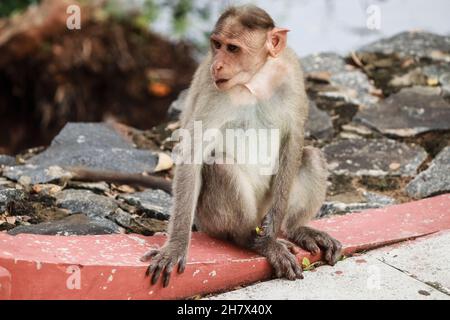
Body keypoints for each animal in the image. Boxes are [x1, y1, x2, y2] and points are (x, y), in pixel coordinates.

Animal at [138, 5, 344, 288]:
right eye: (217, 45)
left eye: (233, 48)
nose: (217, 65)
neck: (254, 81)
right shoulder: (212, 89)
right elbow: (194, 154)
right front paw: (176, 246)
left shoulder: (291, 72)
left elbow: (294, 139)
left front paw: (273, 232)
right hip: (209, 219)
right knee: (220, 165)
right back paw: (251, 241)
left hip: (263, 208)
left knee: (311, 156)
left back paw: (293, 229)